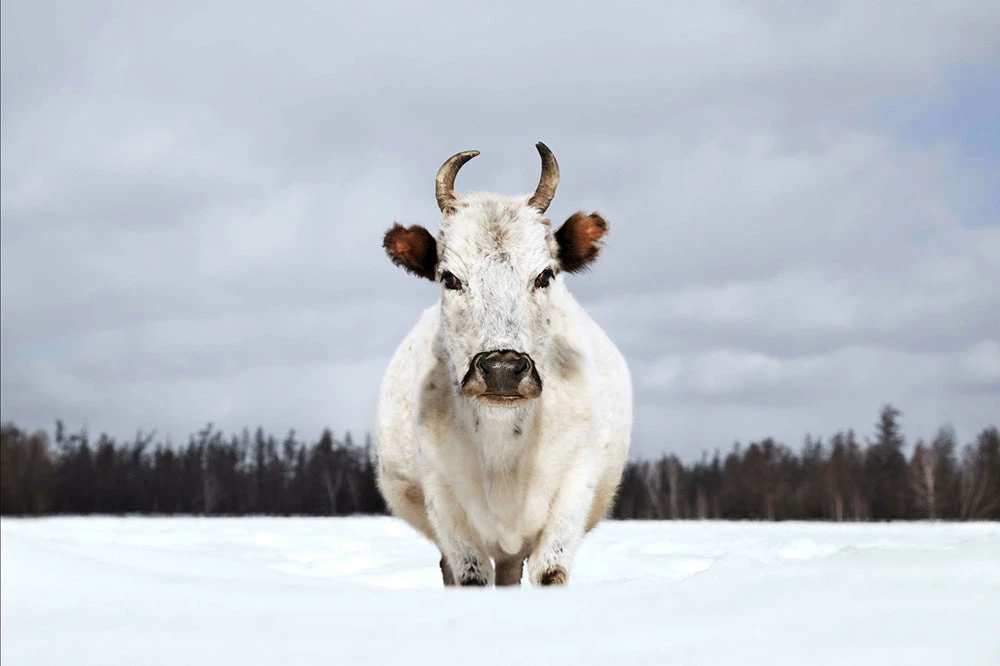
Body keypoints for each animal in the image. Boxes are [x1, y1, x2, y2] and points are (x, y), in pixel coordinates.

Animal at [375, 142, 632, 587]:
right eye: (450, 278)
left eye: (545, 275)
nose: (501, 371)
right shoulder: (445, 500)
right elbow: (470, 575)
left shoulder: (573, 487)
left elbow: (550, 572)